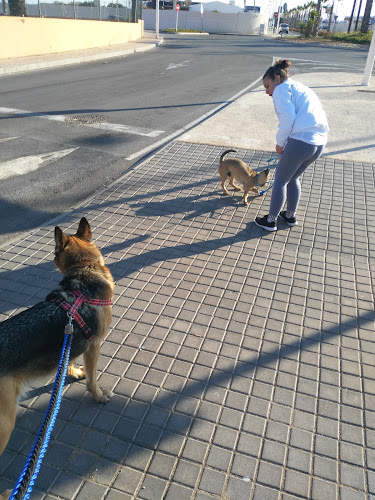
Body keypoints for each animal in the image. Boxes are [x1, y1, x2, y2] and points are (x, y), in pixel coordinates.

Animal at [0, 217, 114, 494]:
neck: (84, 271)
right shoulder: (94, 347)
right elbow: (93, 380)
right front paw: (98, 395)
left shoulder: (70, 337)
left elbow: (68, 359)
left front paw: (71, 372)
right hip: (4, 423)